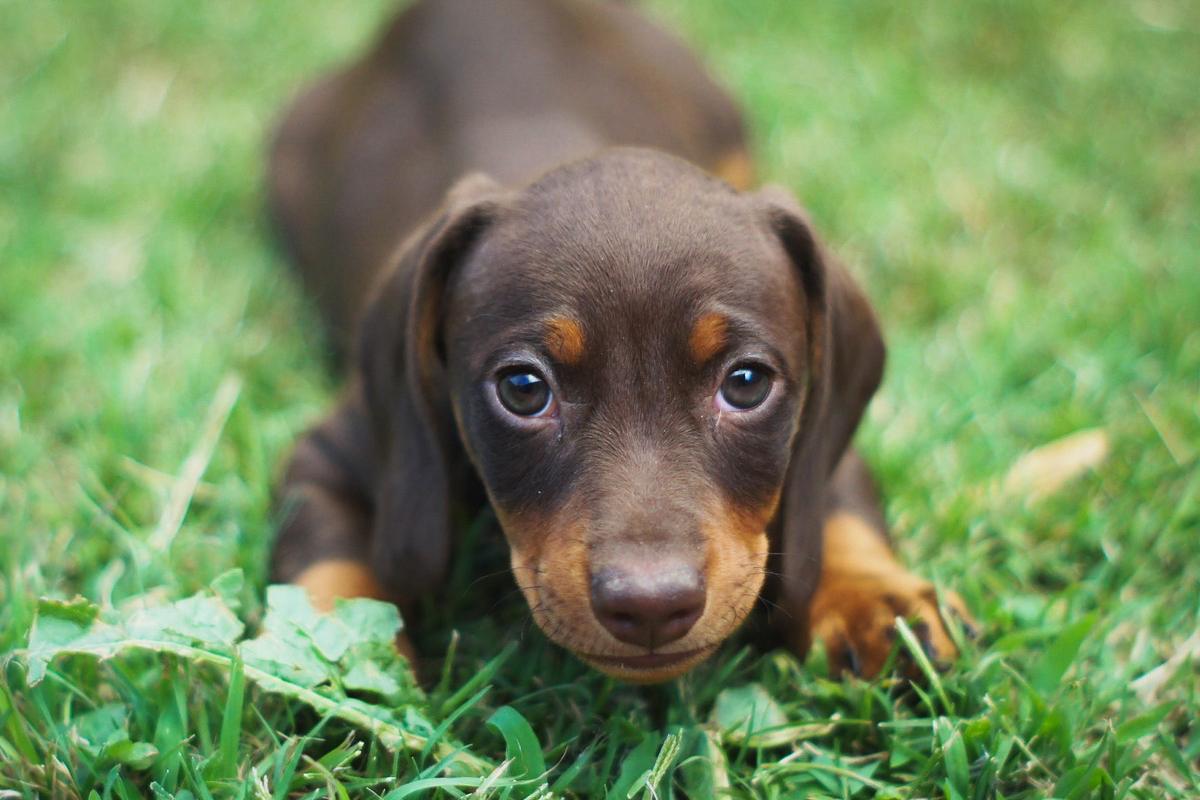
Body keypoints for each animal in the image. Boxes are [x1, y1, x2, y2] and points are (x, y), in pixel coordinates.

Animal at [265, 1, 964, 690]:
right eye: (523, 389)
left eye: (746, 383)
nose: (651, 605)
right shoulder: (330, 455)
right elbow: (326, 571)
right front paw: (329, 663)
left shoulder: (817, 433)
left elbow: (840, 509)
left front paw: (876, 603)